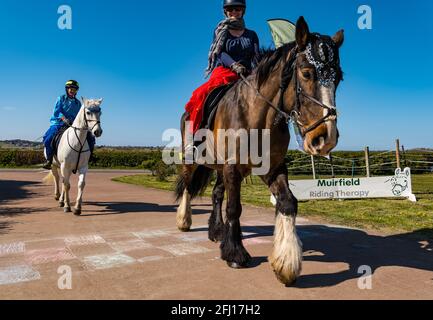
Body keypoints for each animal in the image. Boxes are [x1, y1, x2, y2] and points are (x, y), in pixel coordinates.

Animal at [174, 16, 342, 284]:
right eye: (307, 73)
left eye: (338, 78)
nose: (325, 138)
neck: (258, 114)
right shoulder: (233, 167)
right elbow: (234, 207)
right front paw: (235, 253)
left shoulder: (272, 167)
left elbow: (287, 202)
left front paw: (285, 262)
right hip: (193, 160)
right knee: (189, 186)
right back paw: (185, 221)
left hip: (220, 168)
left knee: (217, 194)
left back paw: (217, 230)